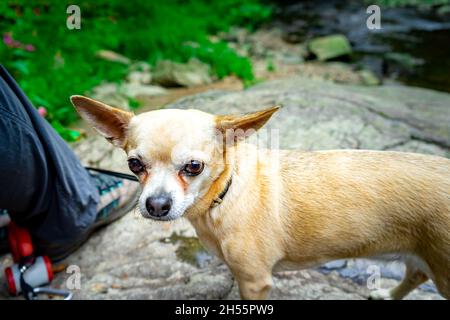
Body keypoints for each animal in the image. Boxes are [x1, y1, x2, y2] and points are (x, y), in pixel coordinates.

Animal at [71, 95, 450, 300]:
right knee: (416, 274)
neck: (223, 196)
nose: (156, 205)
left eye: (193, 167)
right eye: (134, 164)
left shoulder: (254, 281)